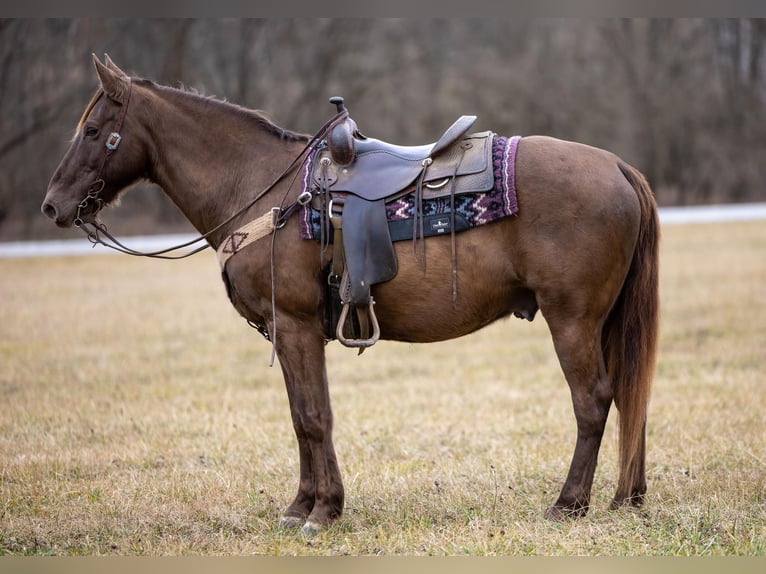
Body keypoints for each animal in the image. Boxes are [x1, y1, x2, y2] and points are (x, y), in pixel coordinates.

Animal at [40, 56, 660, 536]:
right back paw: (625, 498)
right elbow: (301, 416)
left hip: (572, 319)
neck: (261, 187)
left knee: (593, 400)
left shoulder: (294, 327)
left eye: (93, 131)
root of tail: (616, 166)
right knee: (630, 397)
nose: (53, 205)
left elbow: (315, 417)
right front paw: (301, 506)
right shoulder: (292, 332)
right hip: (602, 322)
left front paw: (324, 512)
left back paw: (568, 503)